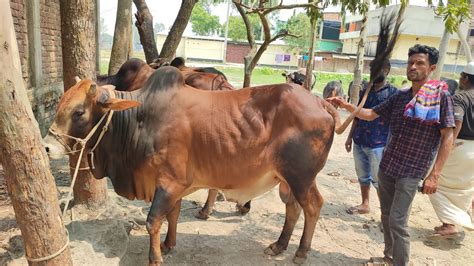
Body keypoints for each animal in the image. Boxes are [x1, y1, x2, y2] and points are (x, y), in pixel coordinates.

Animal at [44, 66, 340, 264]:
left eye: (79, 112)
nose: (47, 146)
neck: (139, 118)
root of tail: (320, 102)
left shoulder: (168, 182)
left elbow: (153, 220)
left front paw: (155, 258)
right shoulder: (173, 185)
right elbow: (172, 215)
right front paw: (168, 244)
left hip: (301, 177)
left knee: (313, 207)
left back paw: (300, 252)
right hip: (287, 179)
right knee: (293, 209)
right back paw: (279, 245)